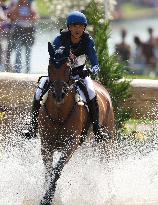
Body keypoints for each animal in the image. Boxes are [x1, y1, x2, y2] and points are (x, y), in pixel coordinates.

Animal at [38, 42, 115, 204]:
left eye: (68, 68)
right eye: (49, 67)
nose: (58, 94)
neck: (59, 112)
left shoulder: (70, 145)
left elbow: (57, 170)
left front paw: (48, 197)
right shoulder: (46, 144)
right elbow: (49, 171)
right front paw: (45, 193)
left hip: (105, 142)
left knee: (106, 163)